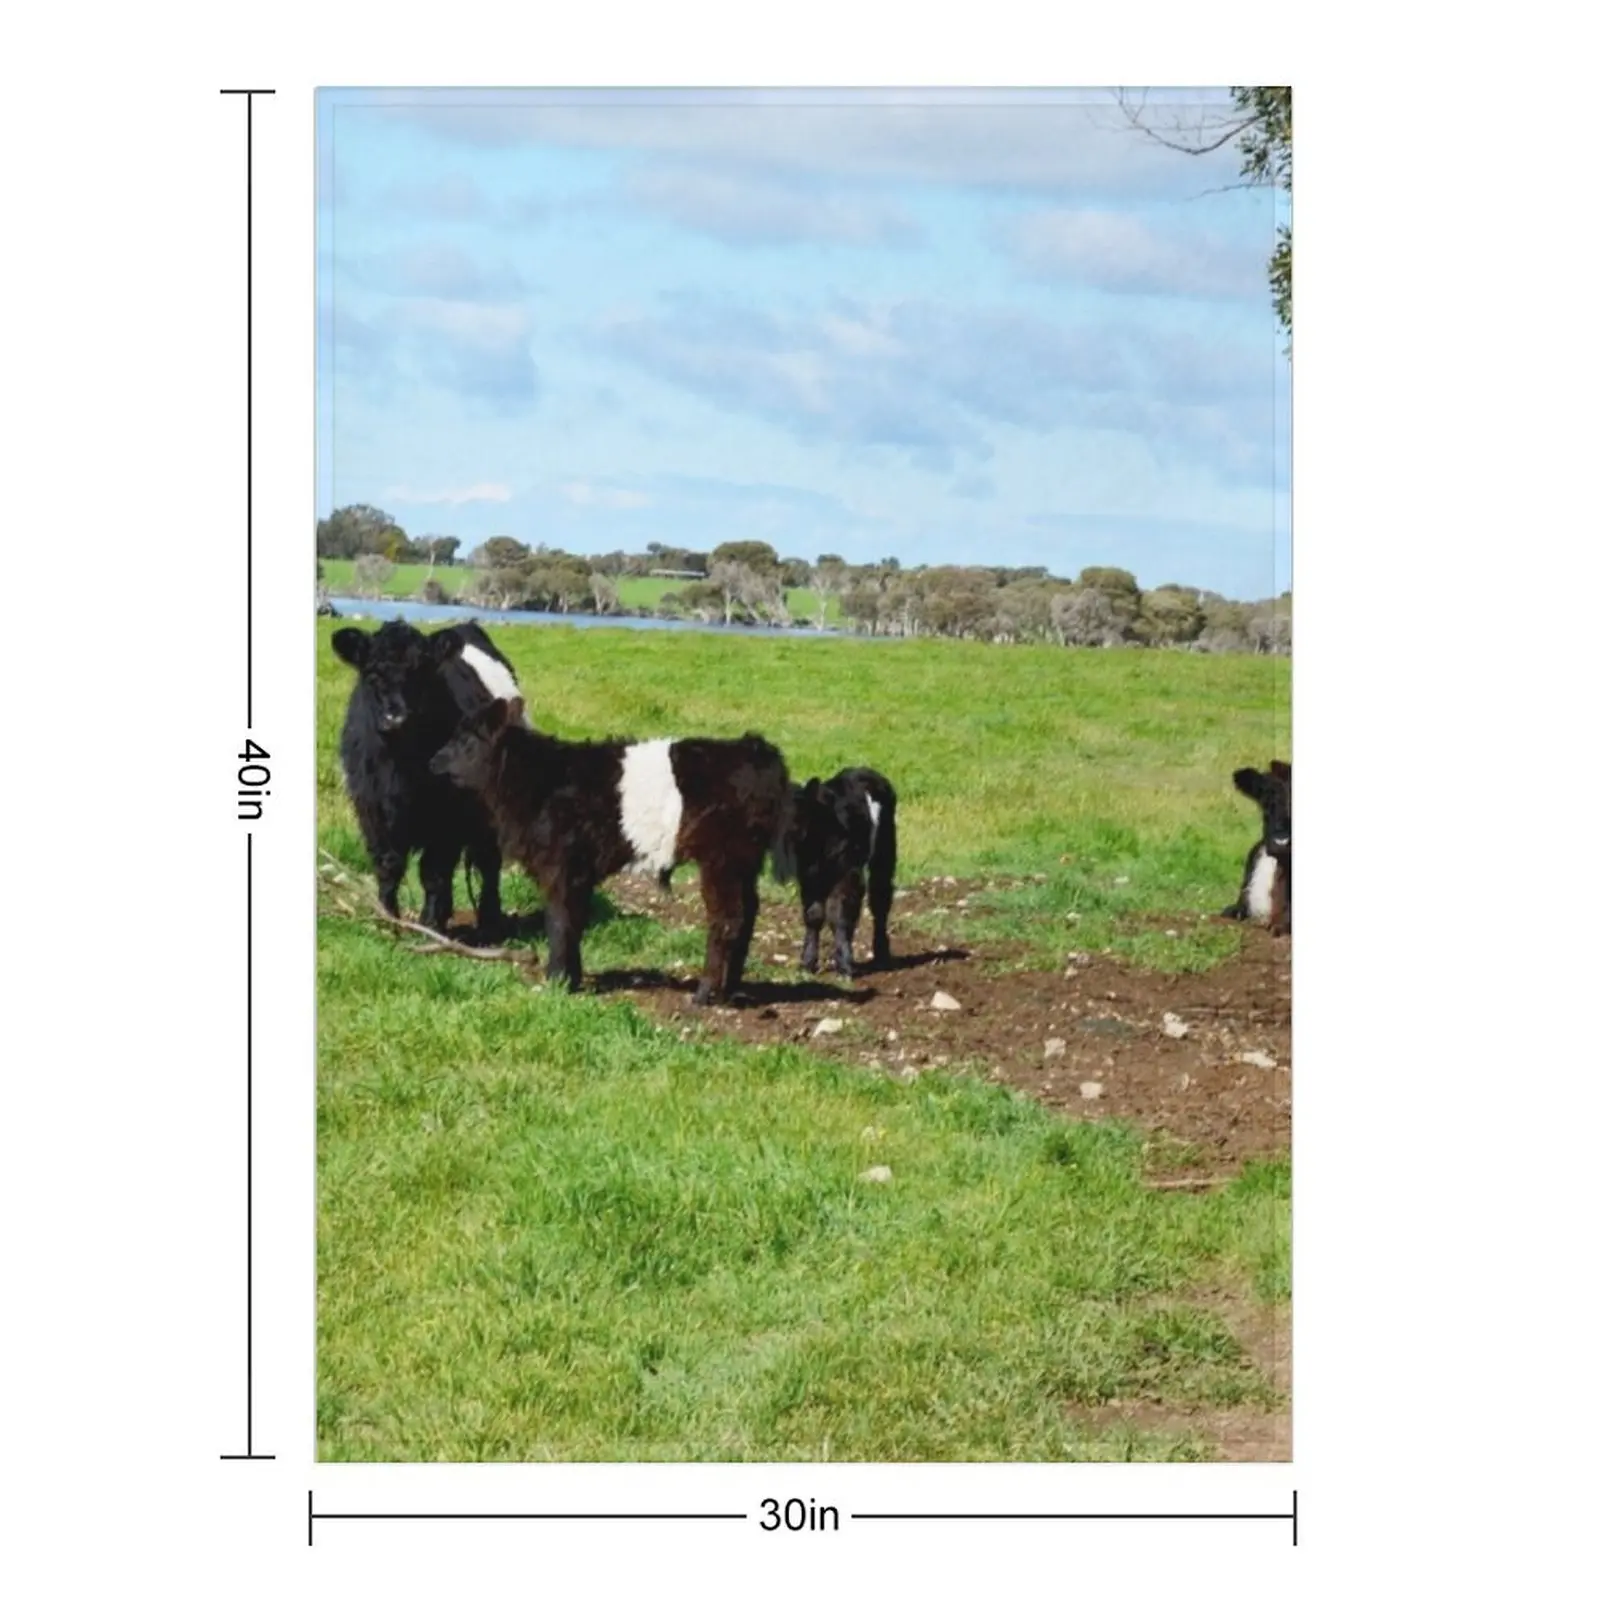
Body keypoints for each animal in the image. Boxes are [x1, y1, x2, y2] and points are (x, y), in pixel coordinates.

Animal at [331, 620, 526, 937]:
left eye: (422, 672)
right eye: (372, 673)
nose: (396, 718)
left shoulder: (448, 817)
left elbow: (433, 871)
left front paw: (431, 923)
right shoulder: (371, 810)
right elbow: (388, 865)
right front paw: (387, 919)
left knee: (488, 862)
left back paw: (489, 920)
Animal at [429, 688, 794, 1005]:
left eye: (466, 739)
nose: (433, 763)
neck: (538, 782)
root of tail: (755, 749)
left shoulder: (563, 866)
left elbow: (559, 921)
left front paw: (557, 981)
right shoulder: (576, 871)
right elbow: (574, 921)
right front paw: (570, 978)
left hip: (722, 859)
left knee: (727, 919)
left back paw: (705, 993)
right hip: (744, 861)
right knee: (748, 914)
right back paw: (730, 987)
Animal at [787, 767, 898, 978]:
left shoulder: (846, 872)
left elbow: (838, 913)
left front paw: (845, 966)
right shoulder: (807, 876)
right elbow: (813, 914)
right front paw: (807, 963)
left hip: (885, 847)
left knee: (879, 898)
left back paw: (881, 954)